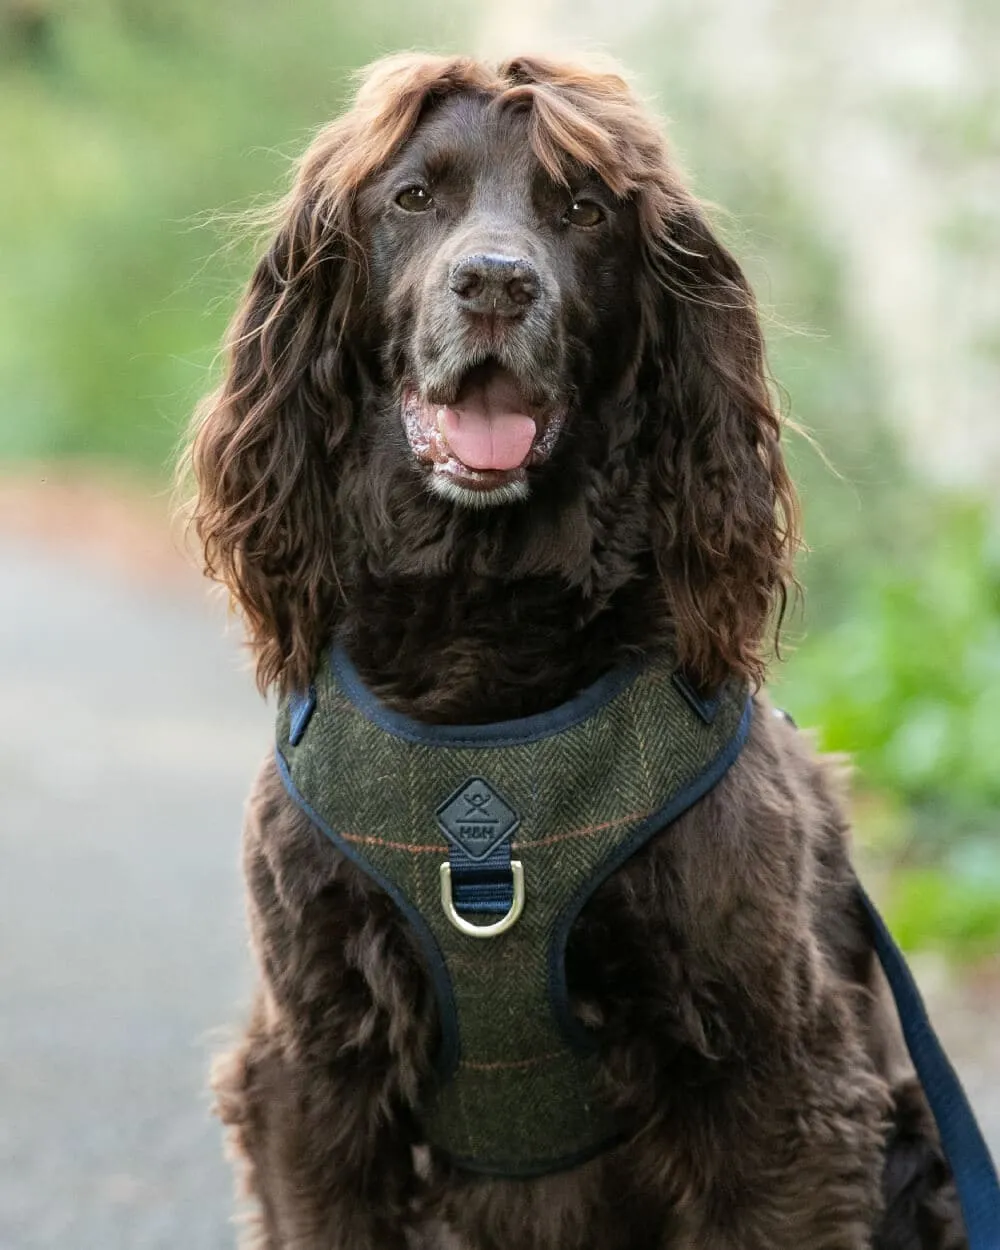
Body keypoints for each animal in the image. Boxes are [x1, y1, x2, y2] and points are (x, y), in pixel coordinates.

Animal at [190, 51, 970, 1250]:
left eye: (584, 211)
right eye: (413, 197)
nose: (495, 284)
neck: (483, 635)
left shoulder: (772, 1078)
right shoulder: (316, 1069)